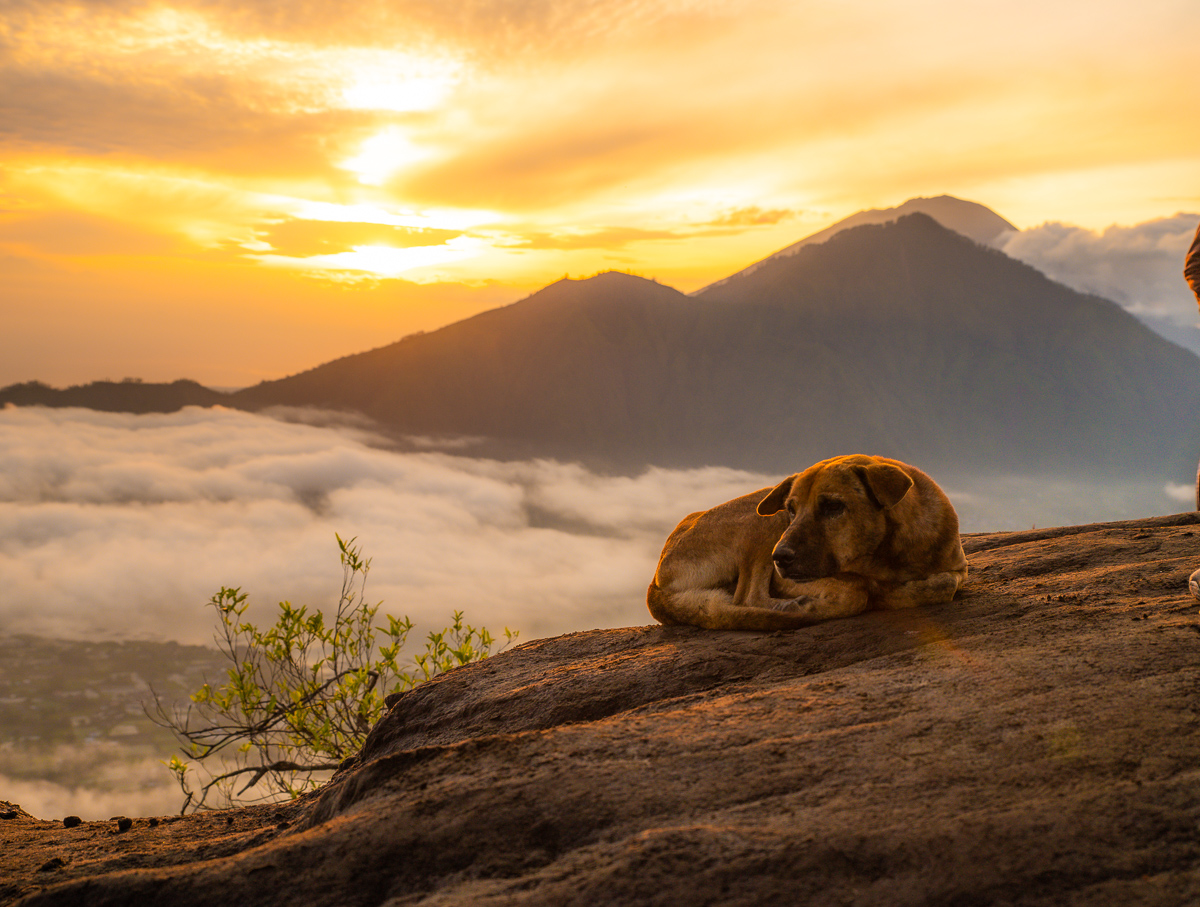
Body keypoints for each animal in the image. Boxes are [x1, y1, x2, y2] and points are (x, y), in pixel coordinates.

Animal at [648, 453, 964, 628]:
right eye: (791, 509)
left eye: (833, 506)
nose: (780, 558)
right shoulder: (786, 578)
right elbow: (859, 589)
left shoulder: (958, 567)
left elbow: (945, 584)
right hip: (763, 523)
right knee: (746, 597)